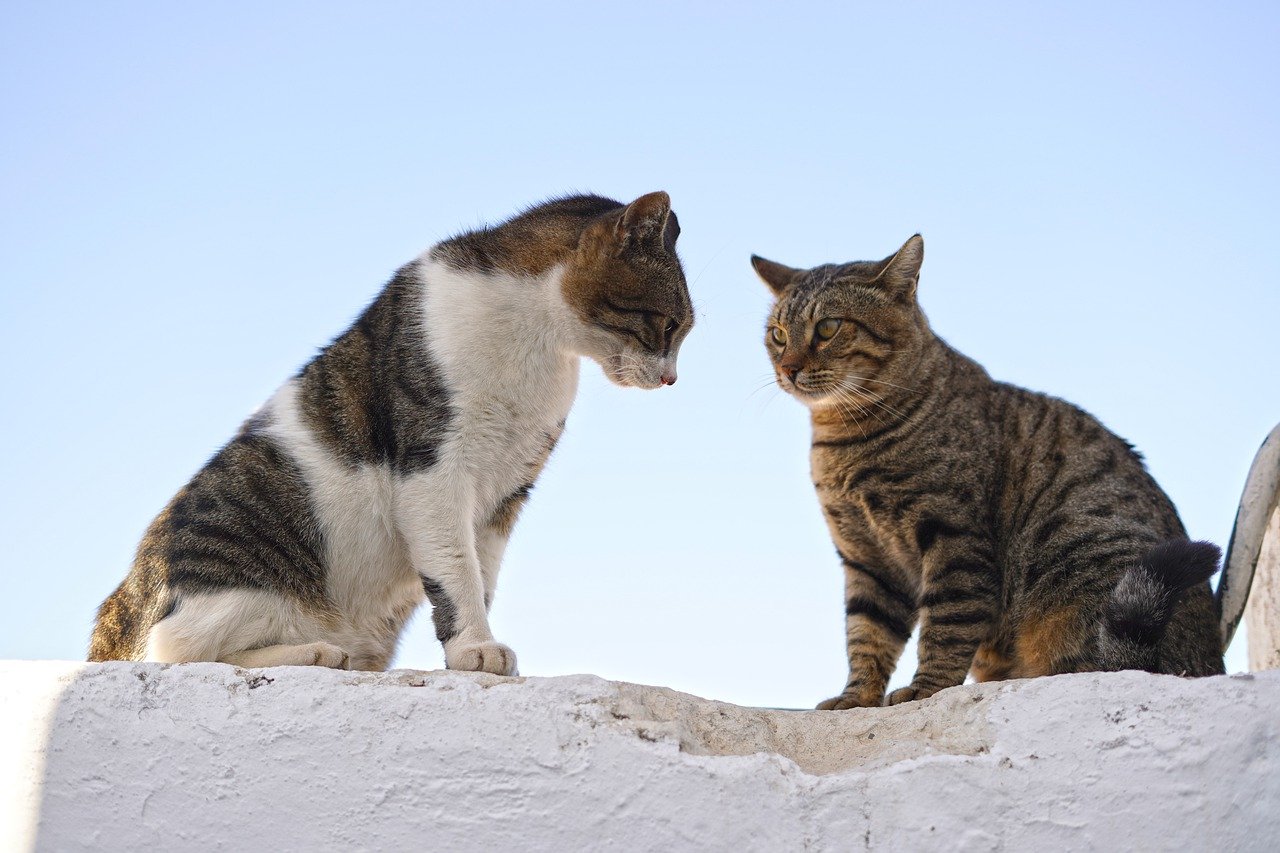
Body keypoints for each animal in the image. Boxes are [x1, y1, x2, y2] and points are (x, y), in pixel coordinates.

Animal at [91, 190, 696, 671]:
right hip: (241, 571)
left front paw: (467, 645)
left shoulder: (507, 491)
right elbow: (457, 569)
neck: (539, 341)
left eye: (683, 331)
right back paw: (316, 652)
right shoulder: (434, 467)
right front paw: (475, 649)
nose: (672, 379)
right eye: (668, 324)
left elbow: (481, 576)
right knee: (182, 650)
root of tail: (115, 614)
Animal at [752, 235, 1223, 706]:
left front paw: (926, 690)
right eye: (778, 334)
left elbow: (946, 626)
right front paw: (857, 697)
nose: (787, 369)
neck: (844, 437)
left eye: (828, 327)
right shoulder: (865, 556)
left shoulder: (953, 537)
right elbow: (867, 633)